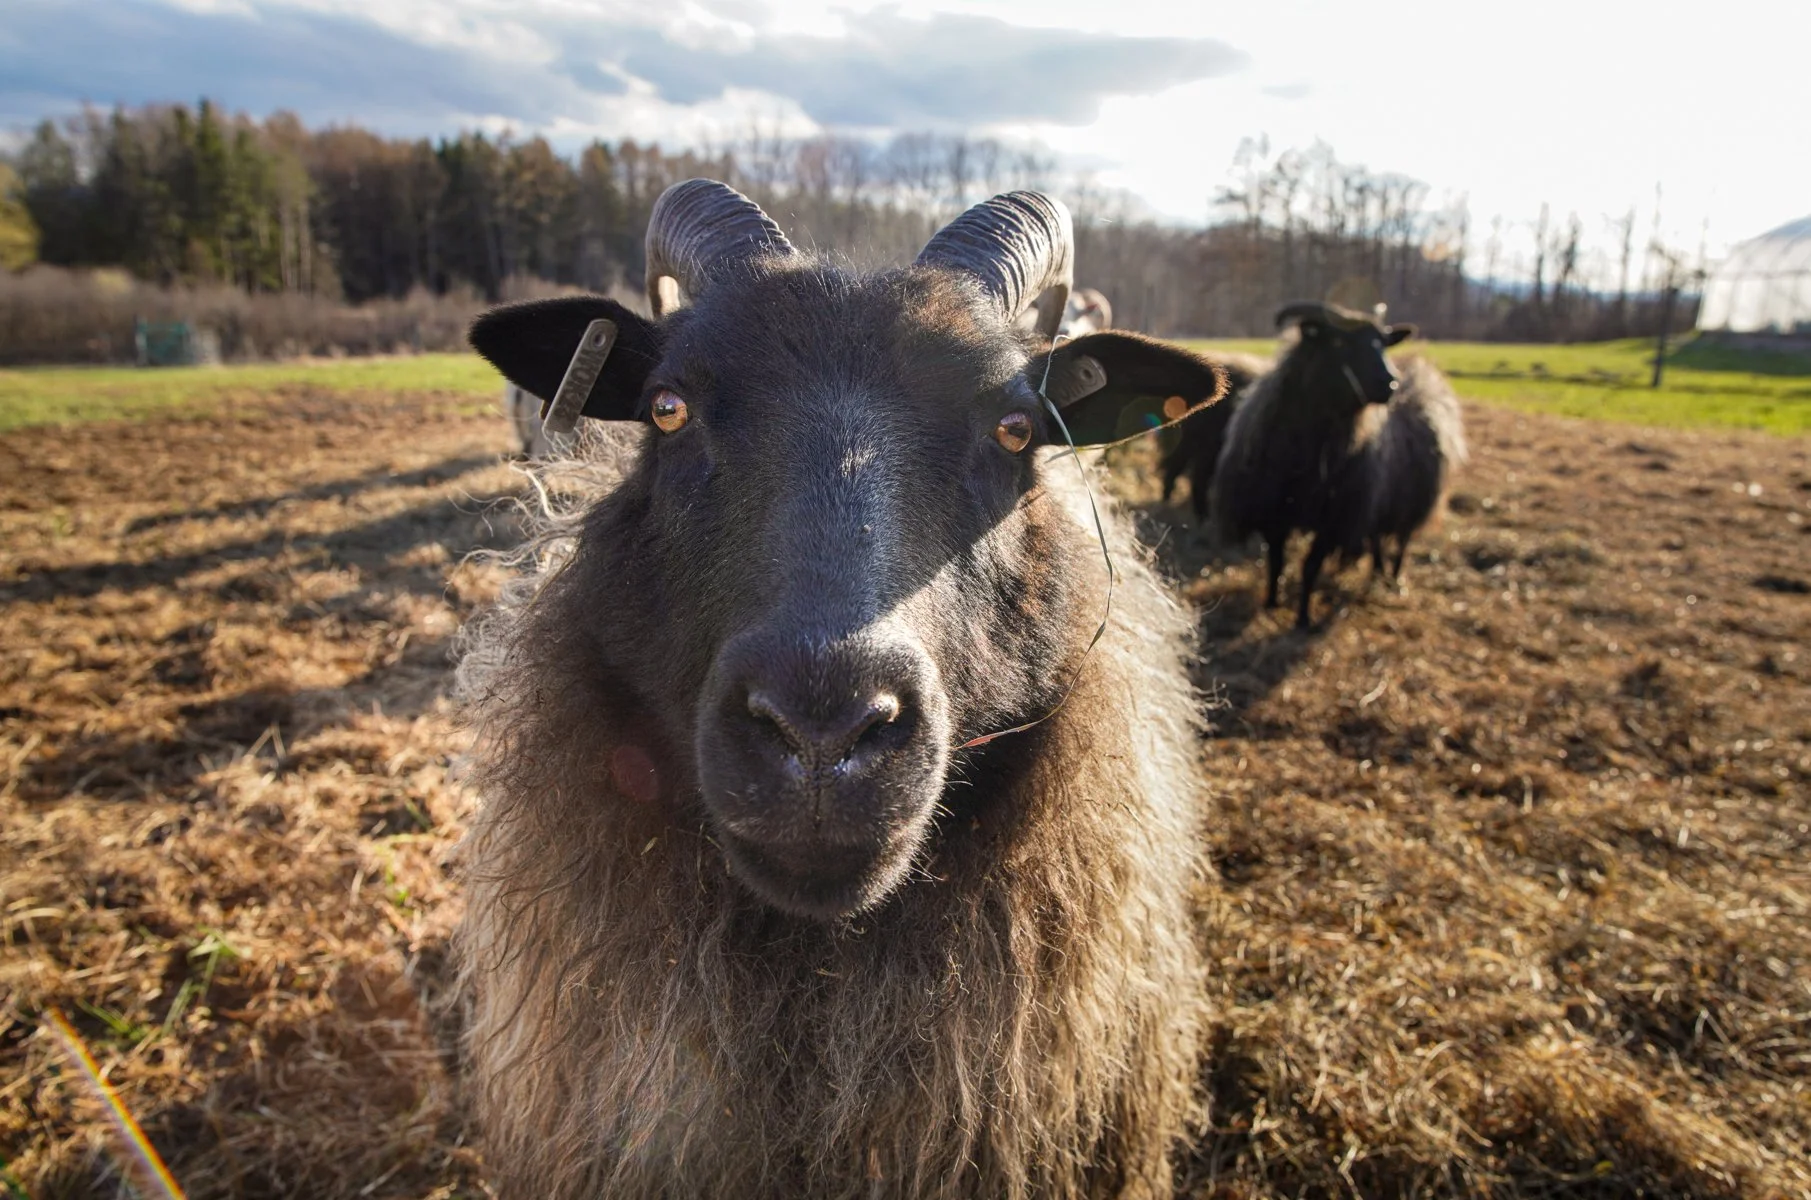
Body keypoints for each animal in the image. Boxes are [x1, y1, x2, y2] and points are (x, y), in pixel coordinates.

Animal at [1210, 301, 1467, 628]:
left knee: (1401, 542)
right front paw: (1271, 603)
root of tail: (1420, 372)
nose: (1390, 383)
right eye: (1339, 342)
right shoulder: (1275, 514)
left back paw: (1393, 580)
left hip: (1410, 502)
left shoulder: (1332, 521)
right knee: (1376, 540)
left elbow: (1310, 566)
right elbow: (1276, 561)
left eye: (1382, 343)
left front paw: (1303, 618)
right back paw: (1377, 572)